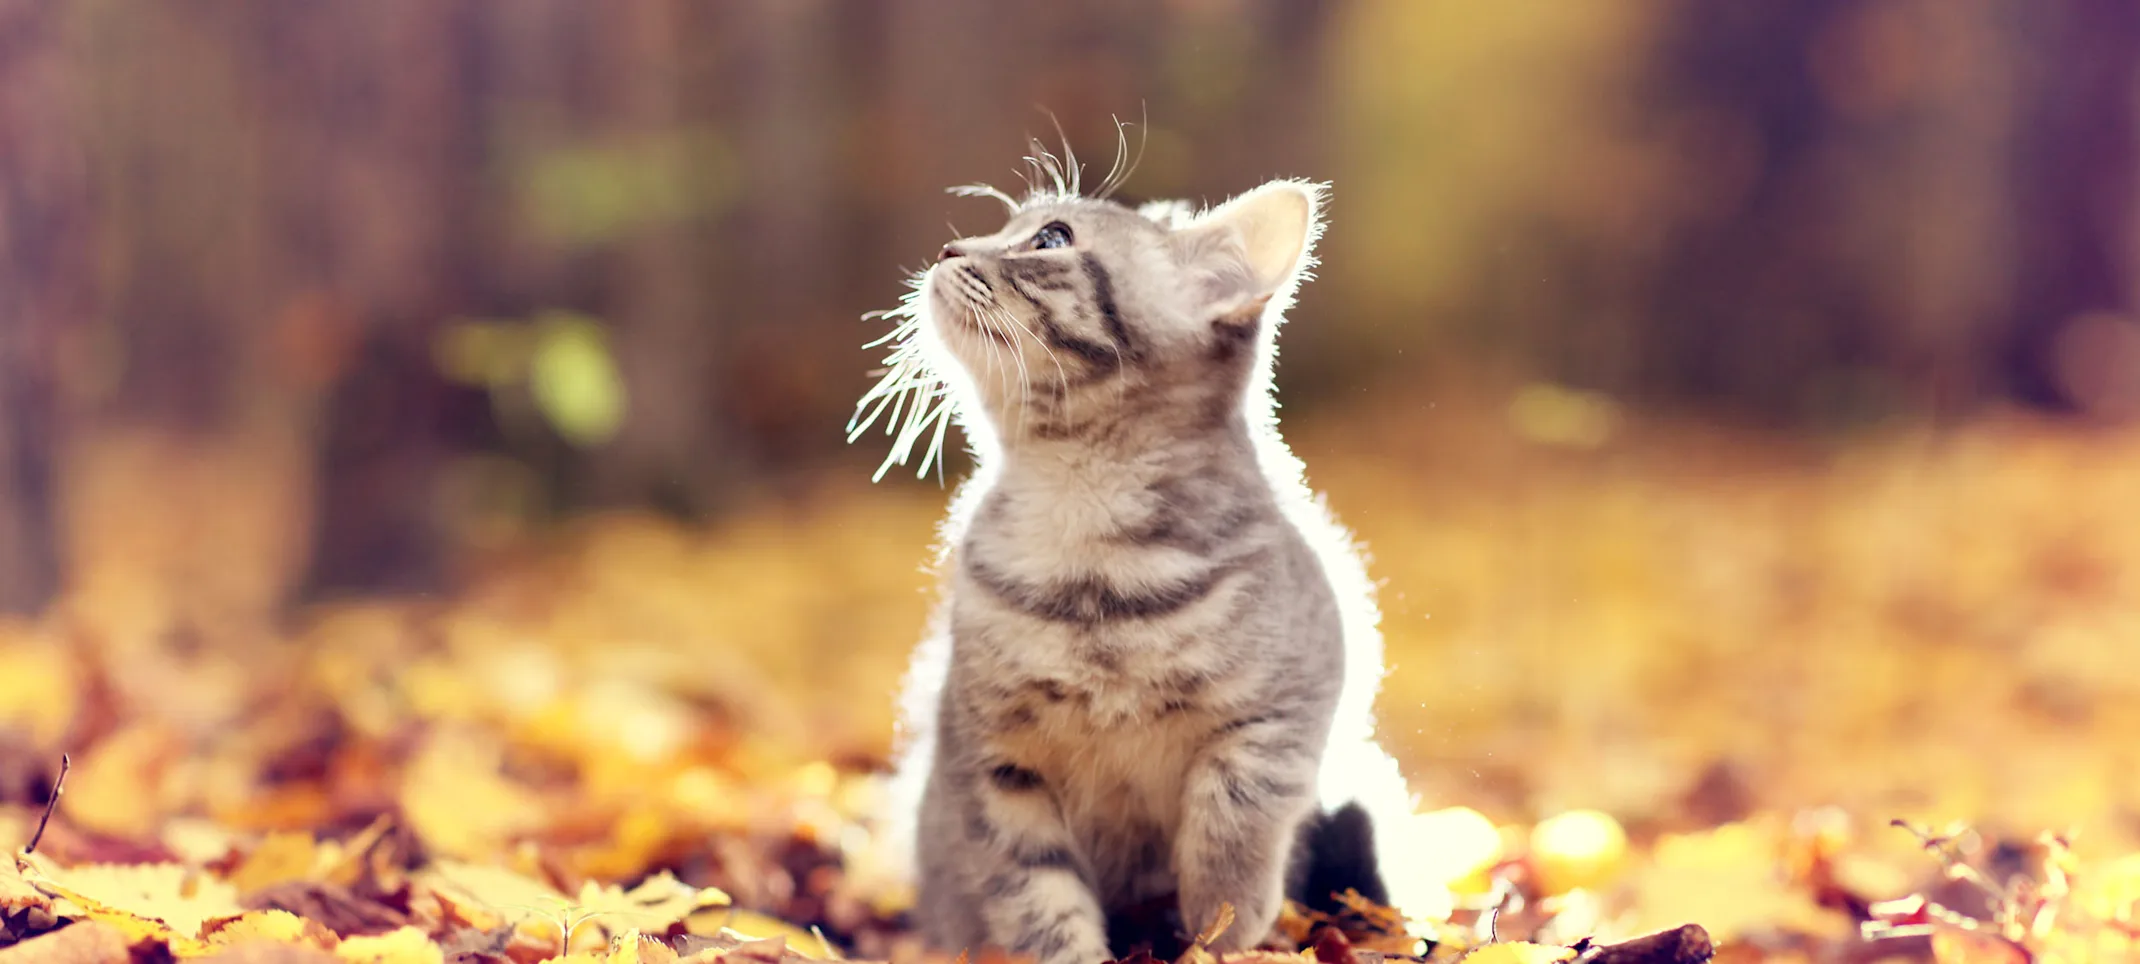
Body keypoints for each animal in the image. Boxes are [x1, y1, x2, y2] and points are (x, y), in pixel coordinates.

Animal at [851, 151, 1438, 964]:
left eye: (1050, 239)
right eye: (1006, 226)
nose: (948, 249)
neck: (1088, 544)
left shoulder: (1295, 701)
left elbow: (1238, 807)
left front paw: (1222, 925)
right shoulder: (989, 764)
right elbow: (1036, 898)